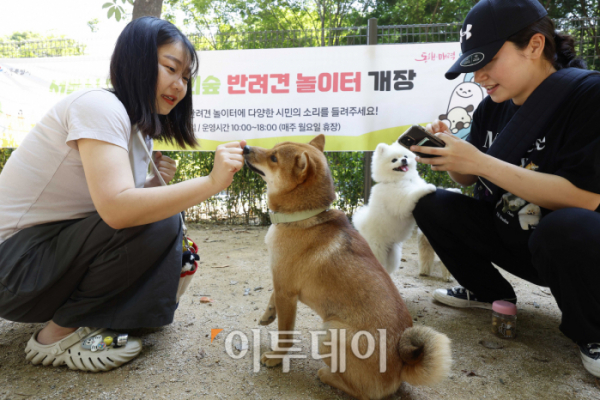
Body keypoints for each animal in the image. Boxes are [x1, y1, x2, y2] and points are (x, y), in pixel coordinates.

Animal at [352, 142, 450, 280]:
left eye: (405, 156)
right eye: (394, 160)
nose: (404, 160)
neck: (401, 179)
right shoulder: (402, 203)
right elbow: (413, 194)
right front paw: (429, 188)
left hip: (393, 256)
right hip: (378, 250)